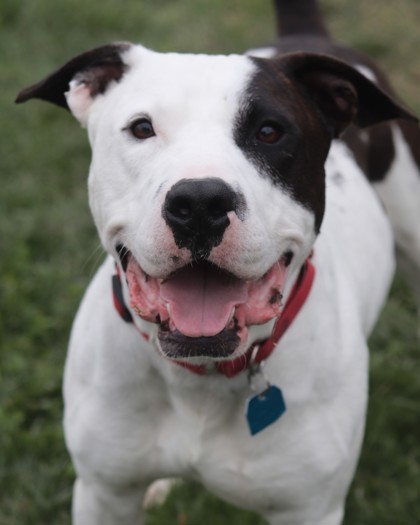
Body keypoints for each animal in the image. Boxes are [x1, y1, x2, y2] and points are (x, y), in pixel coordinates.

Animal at [14, 1, 418, 524]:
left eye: (270, 132)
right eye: (141, 128)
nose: (200, 202)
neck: (201, 379)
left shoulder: (309, 508)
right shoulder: (104, 493)